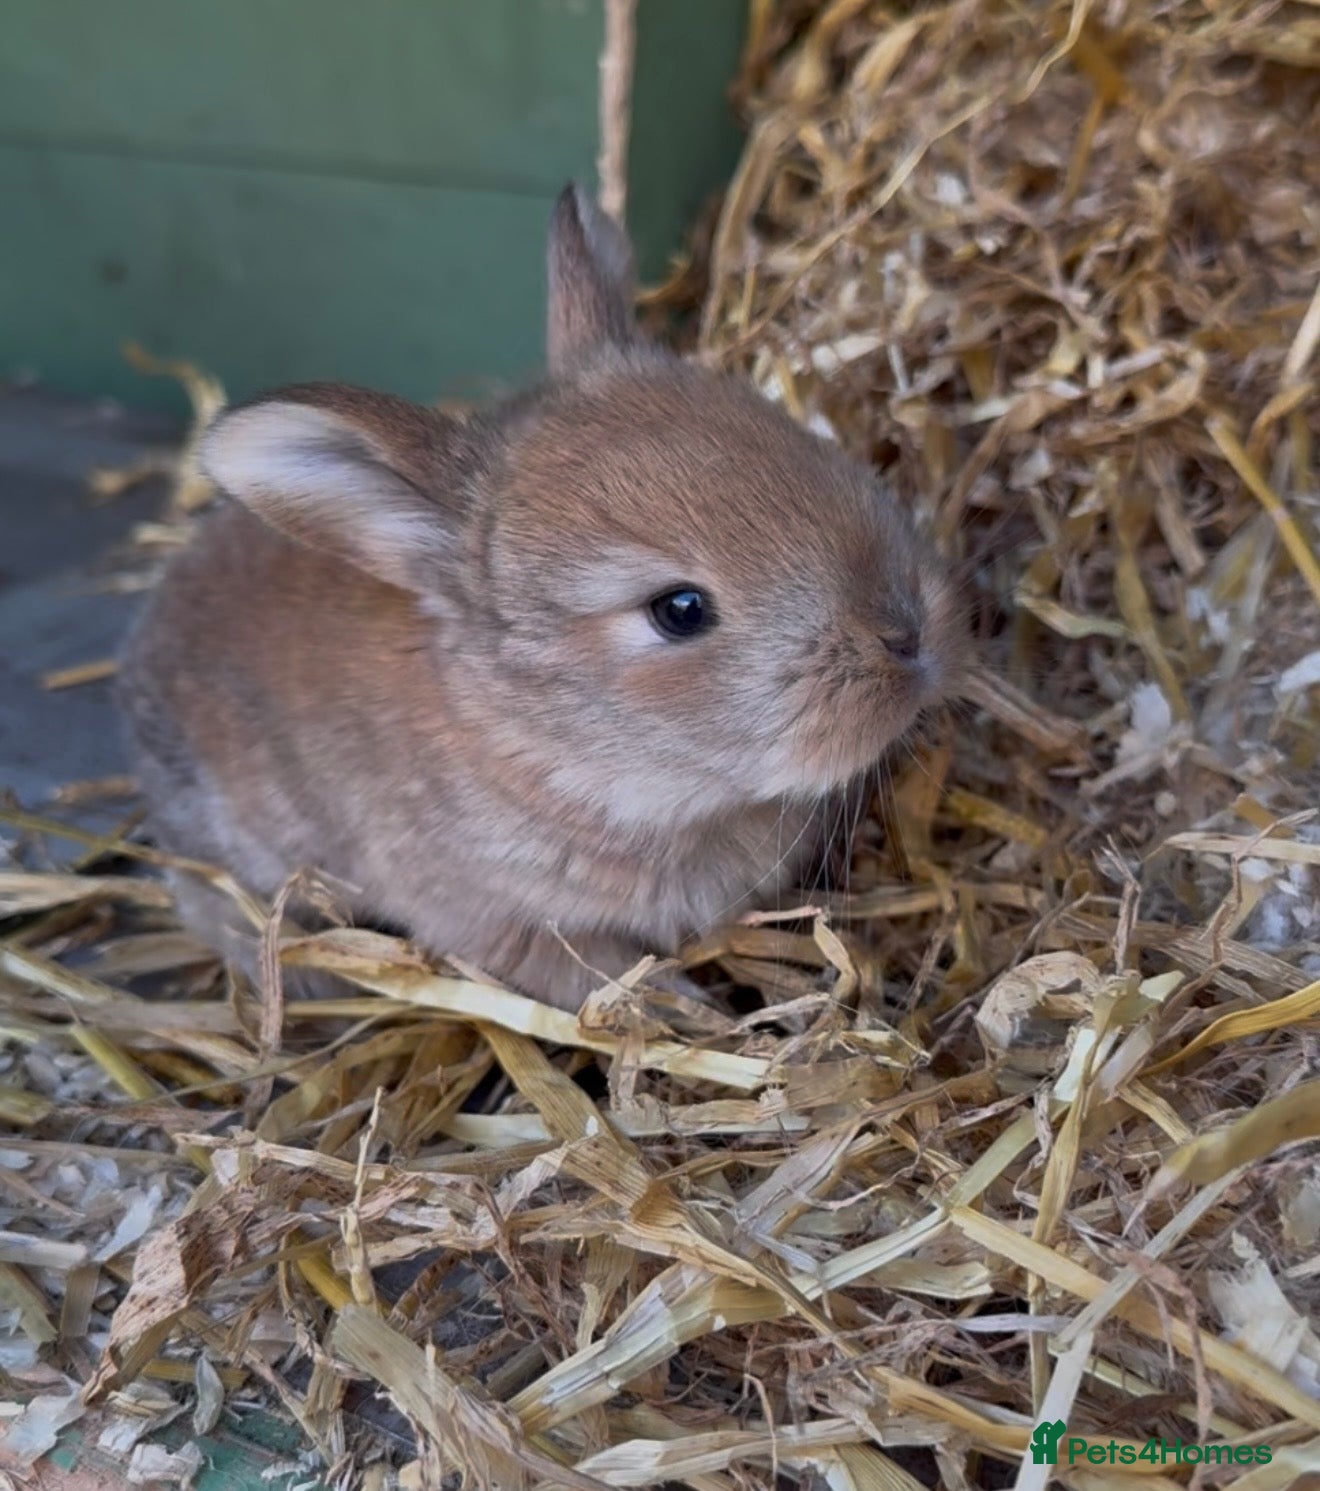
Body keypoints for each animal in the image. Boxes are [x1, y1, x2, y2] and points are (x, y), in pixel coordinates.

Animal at [116, 183, 964, 1012]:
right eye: (680, 610)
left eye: (810, 448)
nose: (906, 634)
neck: (546, 746)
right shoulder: (506, 928)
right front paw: (700, 1013)